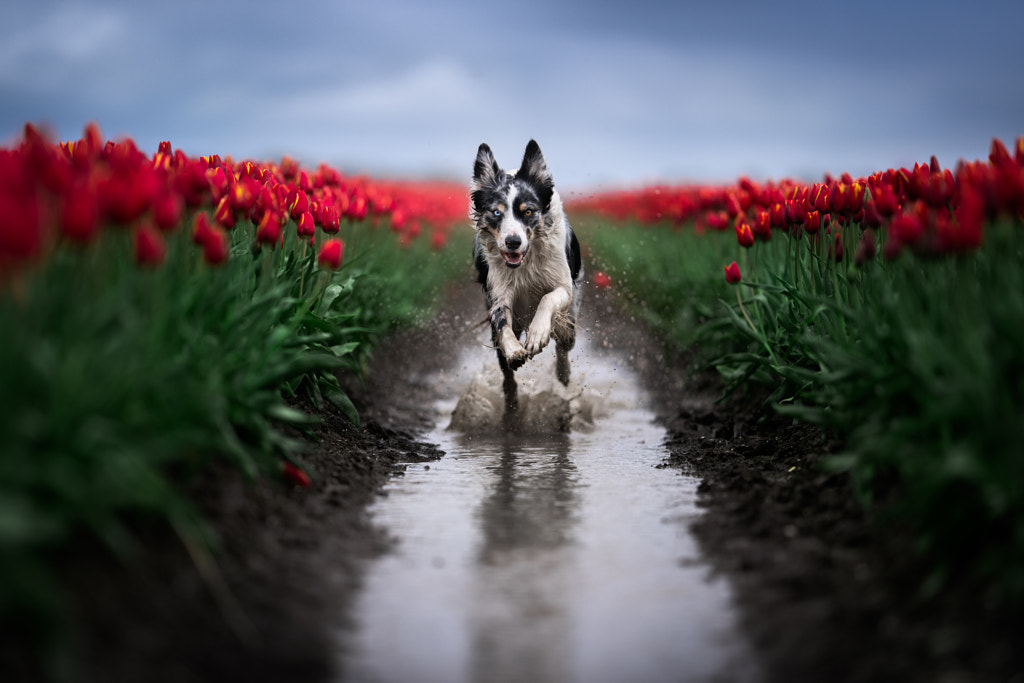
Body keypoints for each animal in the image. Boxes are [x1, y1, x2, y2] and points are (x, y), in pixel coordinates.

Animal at [471, 139, 585, 430]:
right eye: (496, 213)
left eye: (528, 212)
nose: (512, 242)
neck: (526, 260)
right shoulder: (498, 294)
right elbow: (502, 325)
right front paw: (515, 348)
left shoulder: (563, 286)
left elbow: (548, 298)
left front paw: (536, 335)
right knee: (508, 378)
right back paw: (511, 409)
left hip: (571, 321)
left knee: (564, 348)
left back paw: (563, 380)